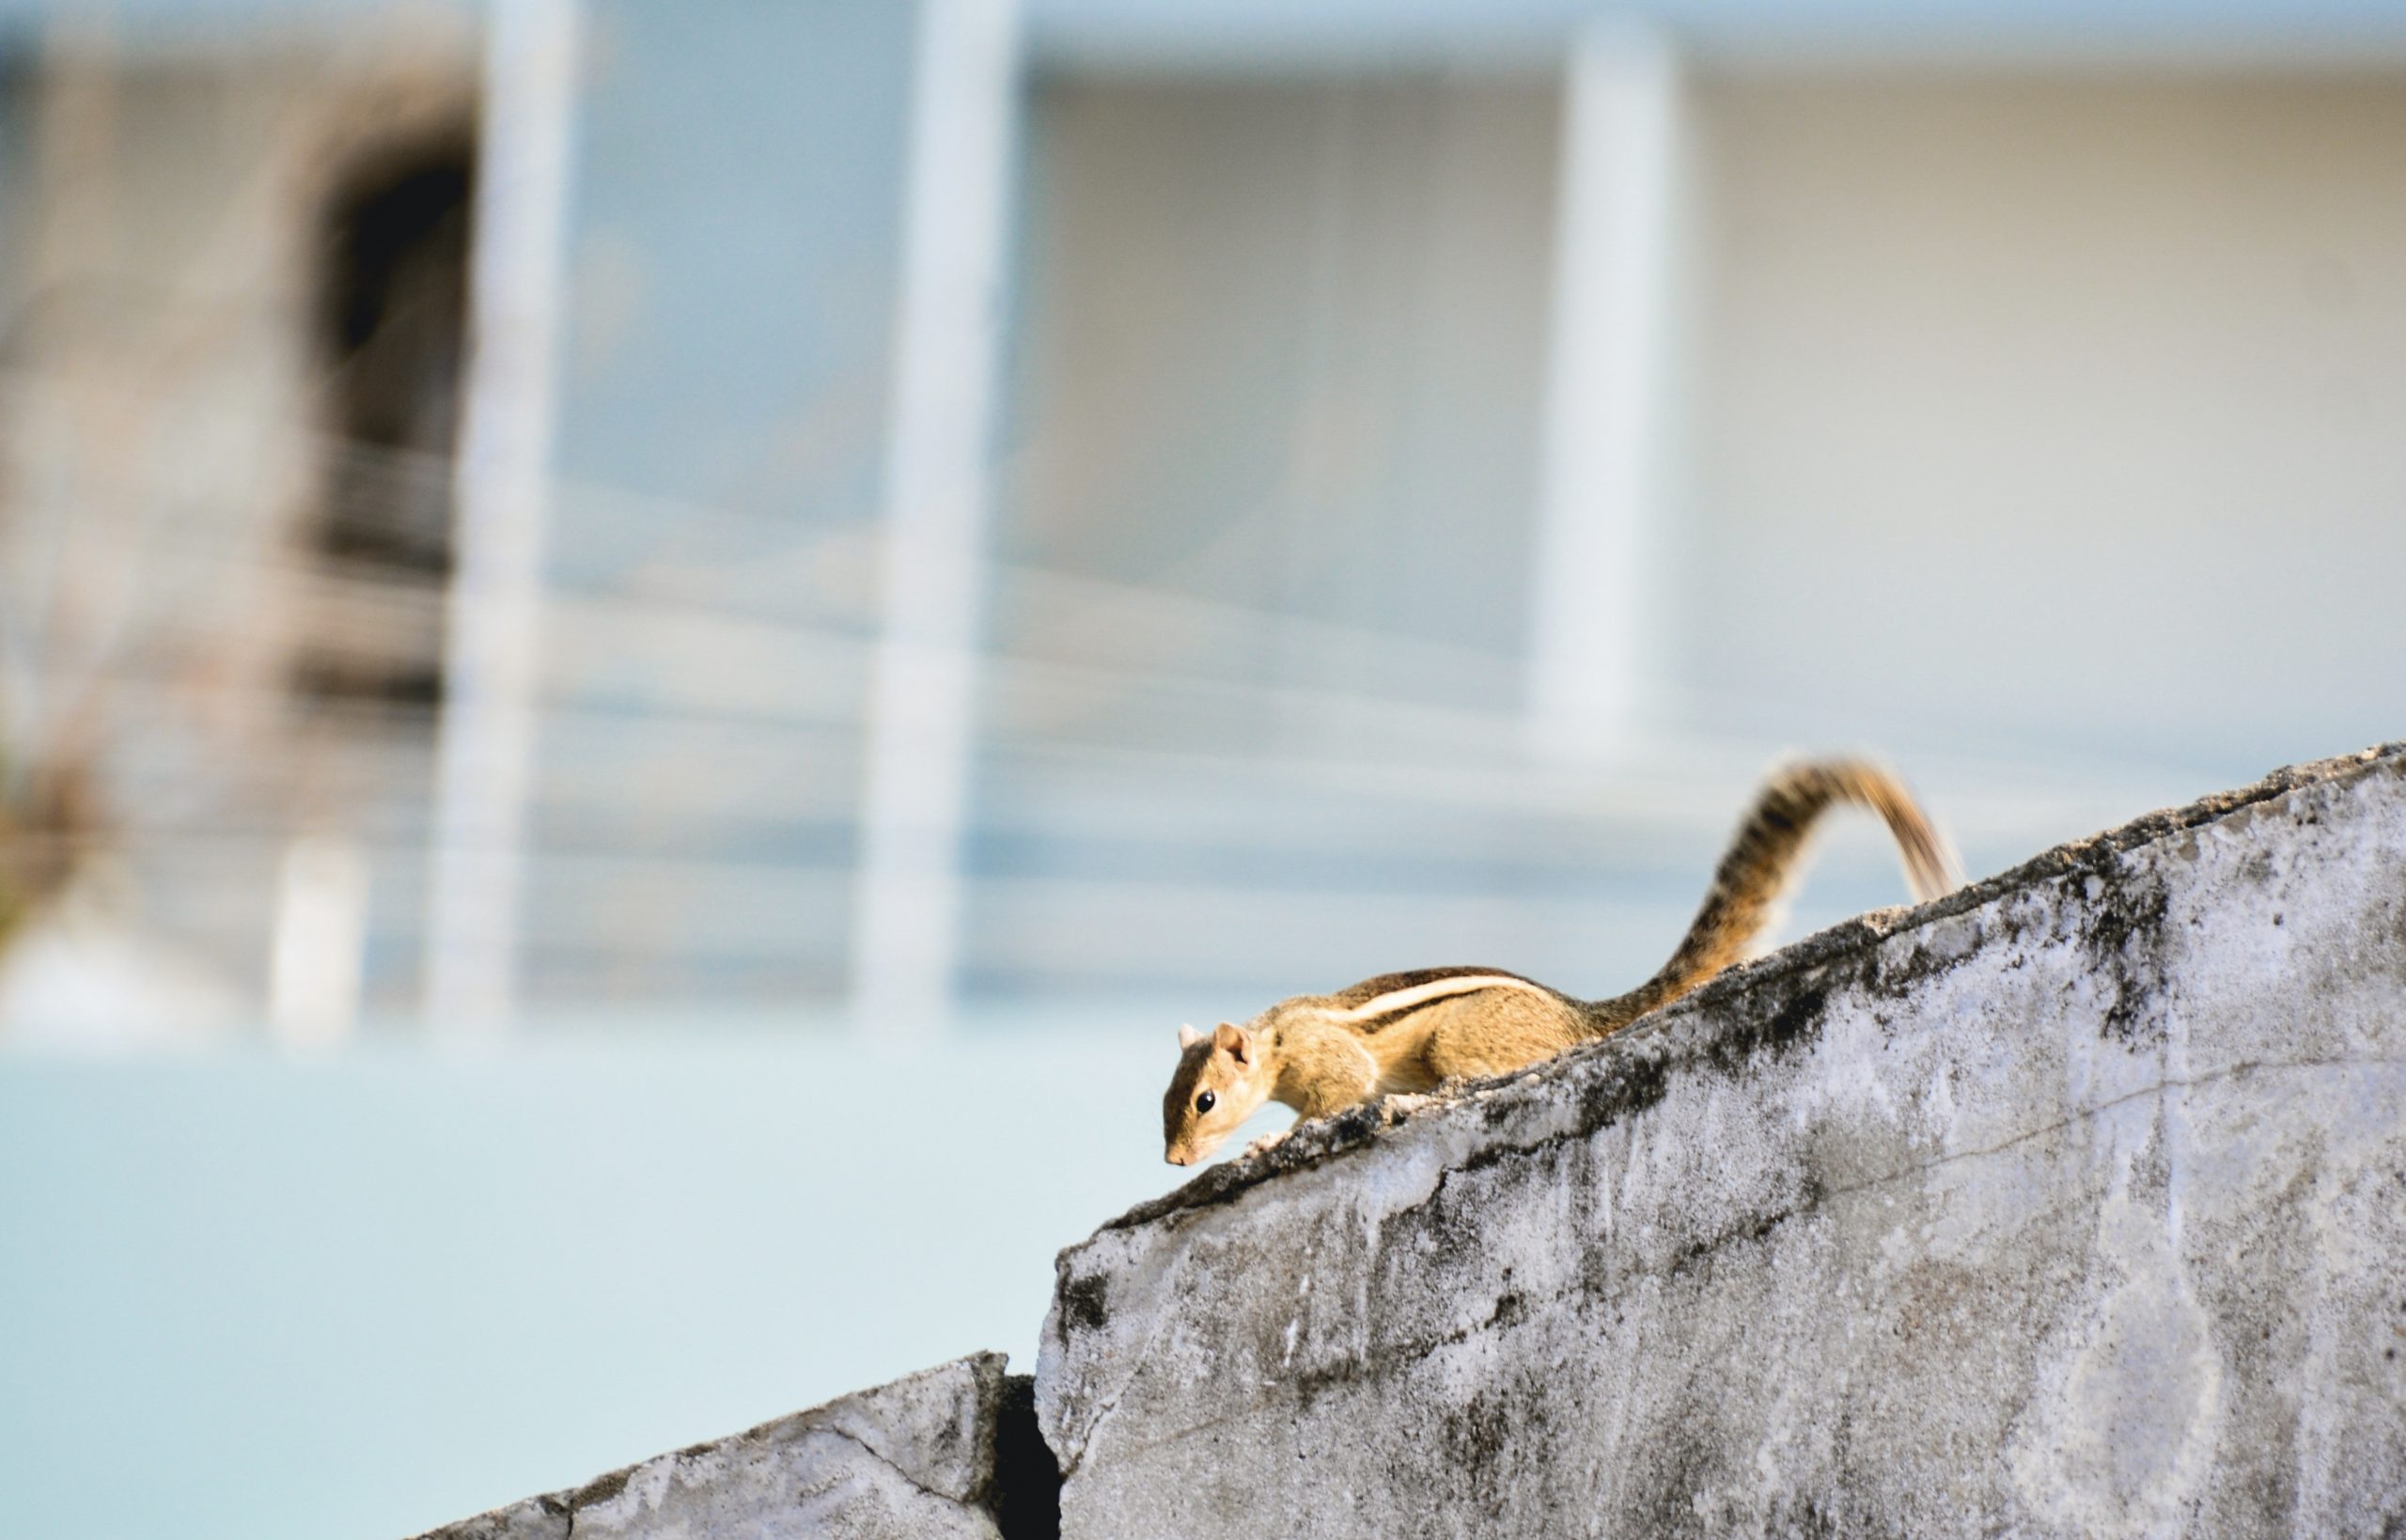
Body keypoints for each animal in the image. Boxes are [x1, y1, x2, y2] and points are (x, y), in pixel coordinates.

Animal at [1154, 760, 1962, 1164]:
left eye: (1205, 1101)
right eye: (1167, 1100)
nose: (1175, 1162)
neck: (1276, 1040)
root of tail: (1577, 1015)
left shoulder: (1332, 1064)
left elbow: (1332, 1101)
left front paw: (1269, 1136)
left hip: (1459, 1041)